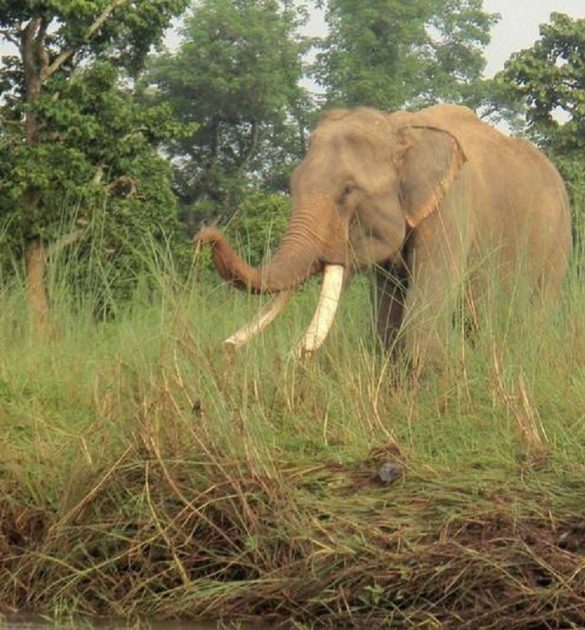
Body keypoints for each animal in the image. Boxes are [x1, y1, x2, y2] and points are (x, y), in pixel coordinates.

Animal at [195, 103, 572, 370]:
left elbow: (421, 317)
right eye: (292, 185)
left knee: (532, 318)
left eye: (347, 191)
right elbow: (388, 321)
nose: (203, 235)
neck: (398, 126)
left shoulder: (451, 208)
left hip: (557, 243)